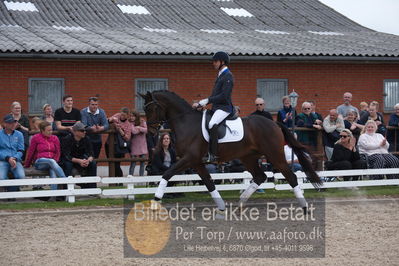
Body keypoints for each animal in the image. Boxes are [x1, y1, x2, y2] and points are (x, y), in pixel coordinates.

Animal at [140, 90, 322, 213]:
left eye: (151, 109)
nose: (151, 132)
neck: (186, 122)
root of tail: (274, 123)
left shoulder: (189, 158)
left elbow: (167, 174)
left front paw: (155, 201)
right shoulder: (196, 162)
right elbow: (209, 182)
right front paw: (221, 207)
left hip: (274, 155)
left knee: (291, 177)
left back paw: (305, 208)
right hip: (248, 157)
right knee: (260, 176)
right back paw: (240, 203)